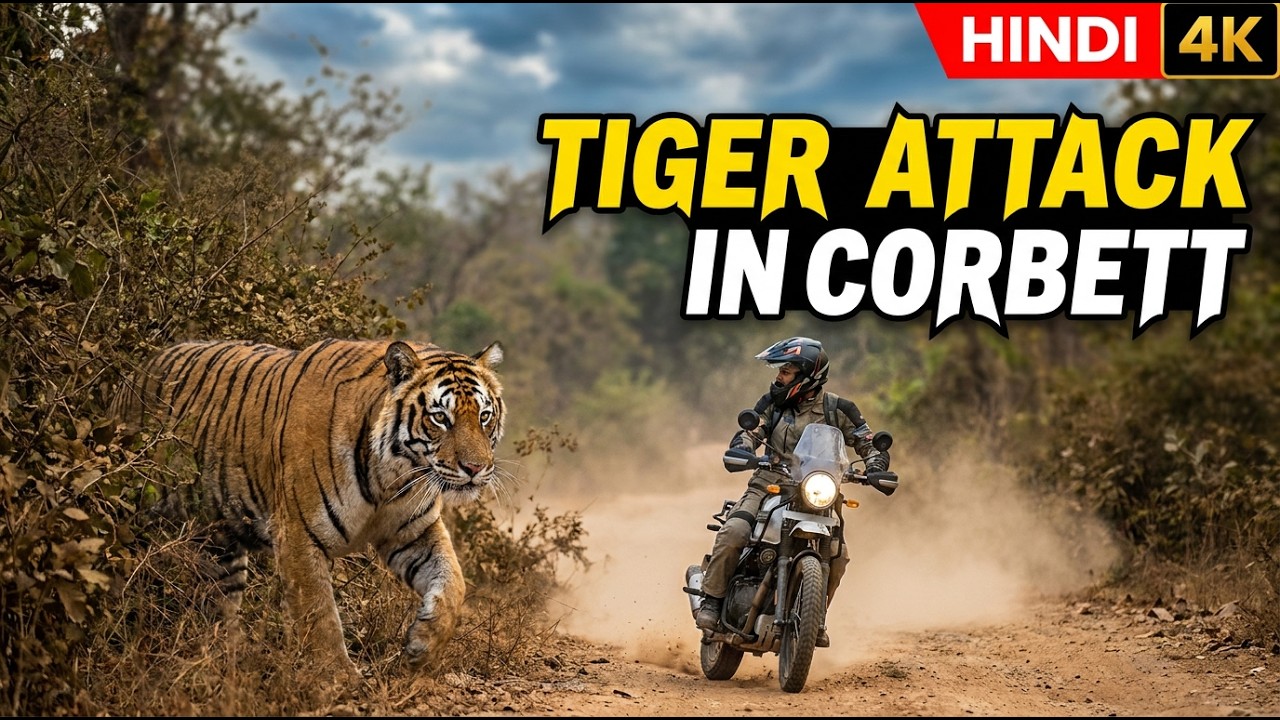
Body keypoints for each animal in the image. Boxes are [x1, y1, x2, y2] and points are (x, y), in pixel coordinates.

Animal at [112, 337, 506, 680]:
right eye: (440, 418)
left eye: (484, 416)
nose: (476, 468)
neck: (393, 475)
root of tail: (133, 373)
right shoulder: (299, 535)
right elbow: (319, 615)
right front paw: (338, 678)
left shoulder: (412, 531)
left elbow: (453, 584)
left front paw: (421, 647)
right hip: (132, 517)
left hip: (219, 545)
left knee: (219, 607)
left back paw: (229, 663)